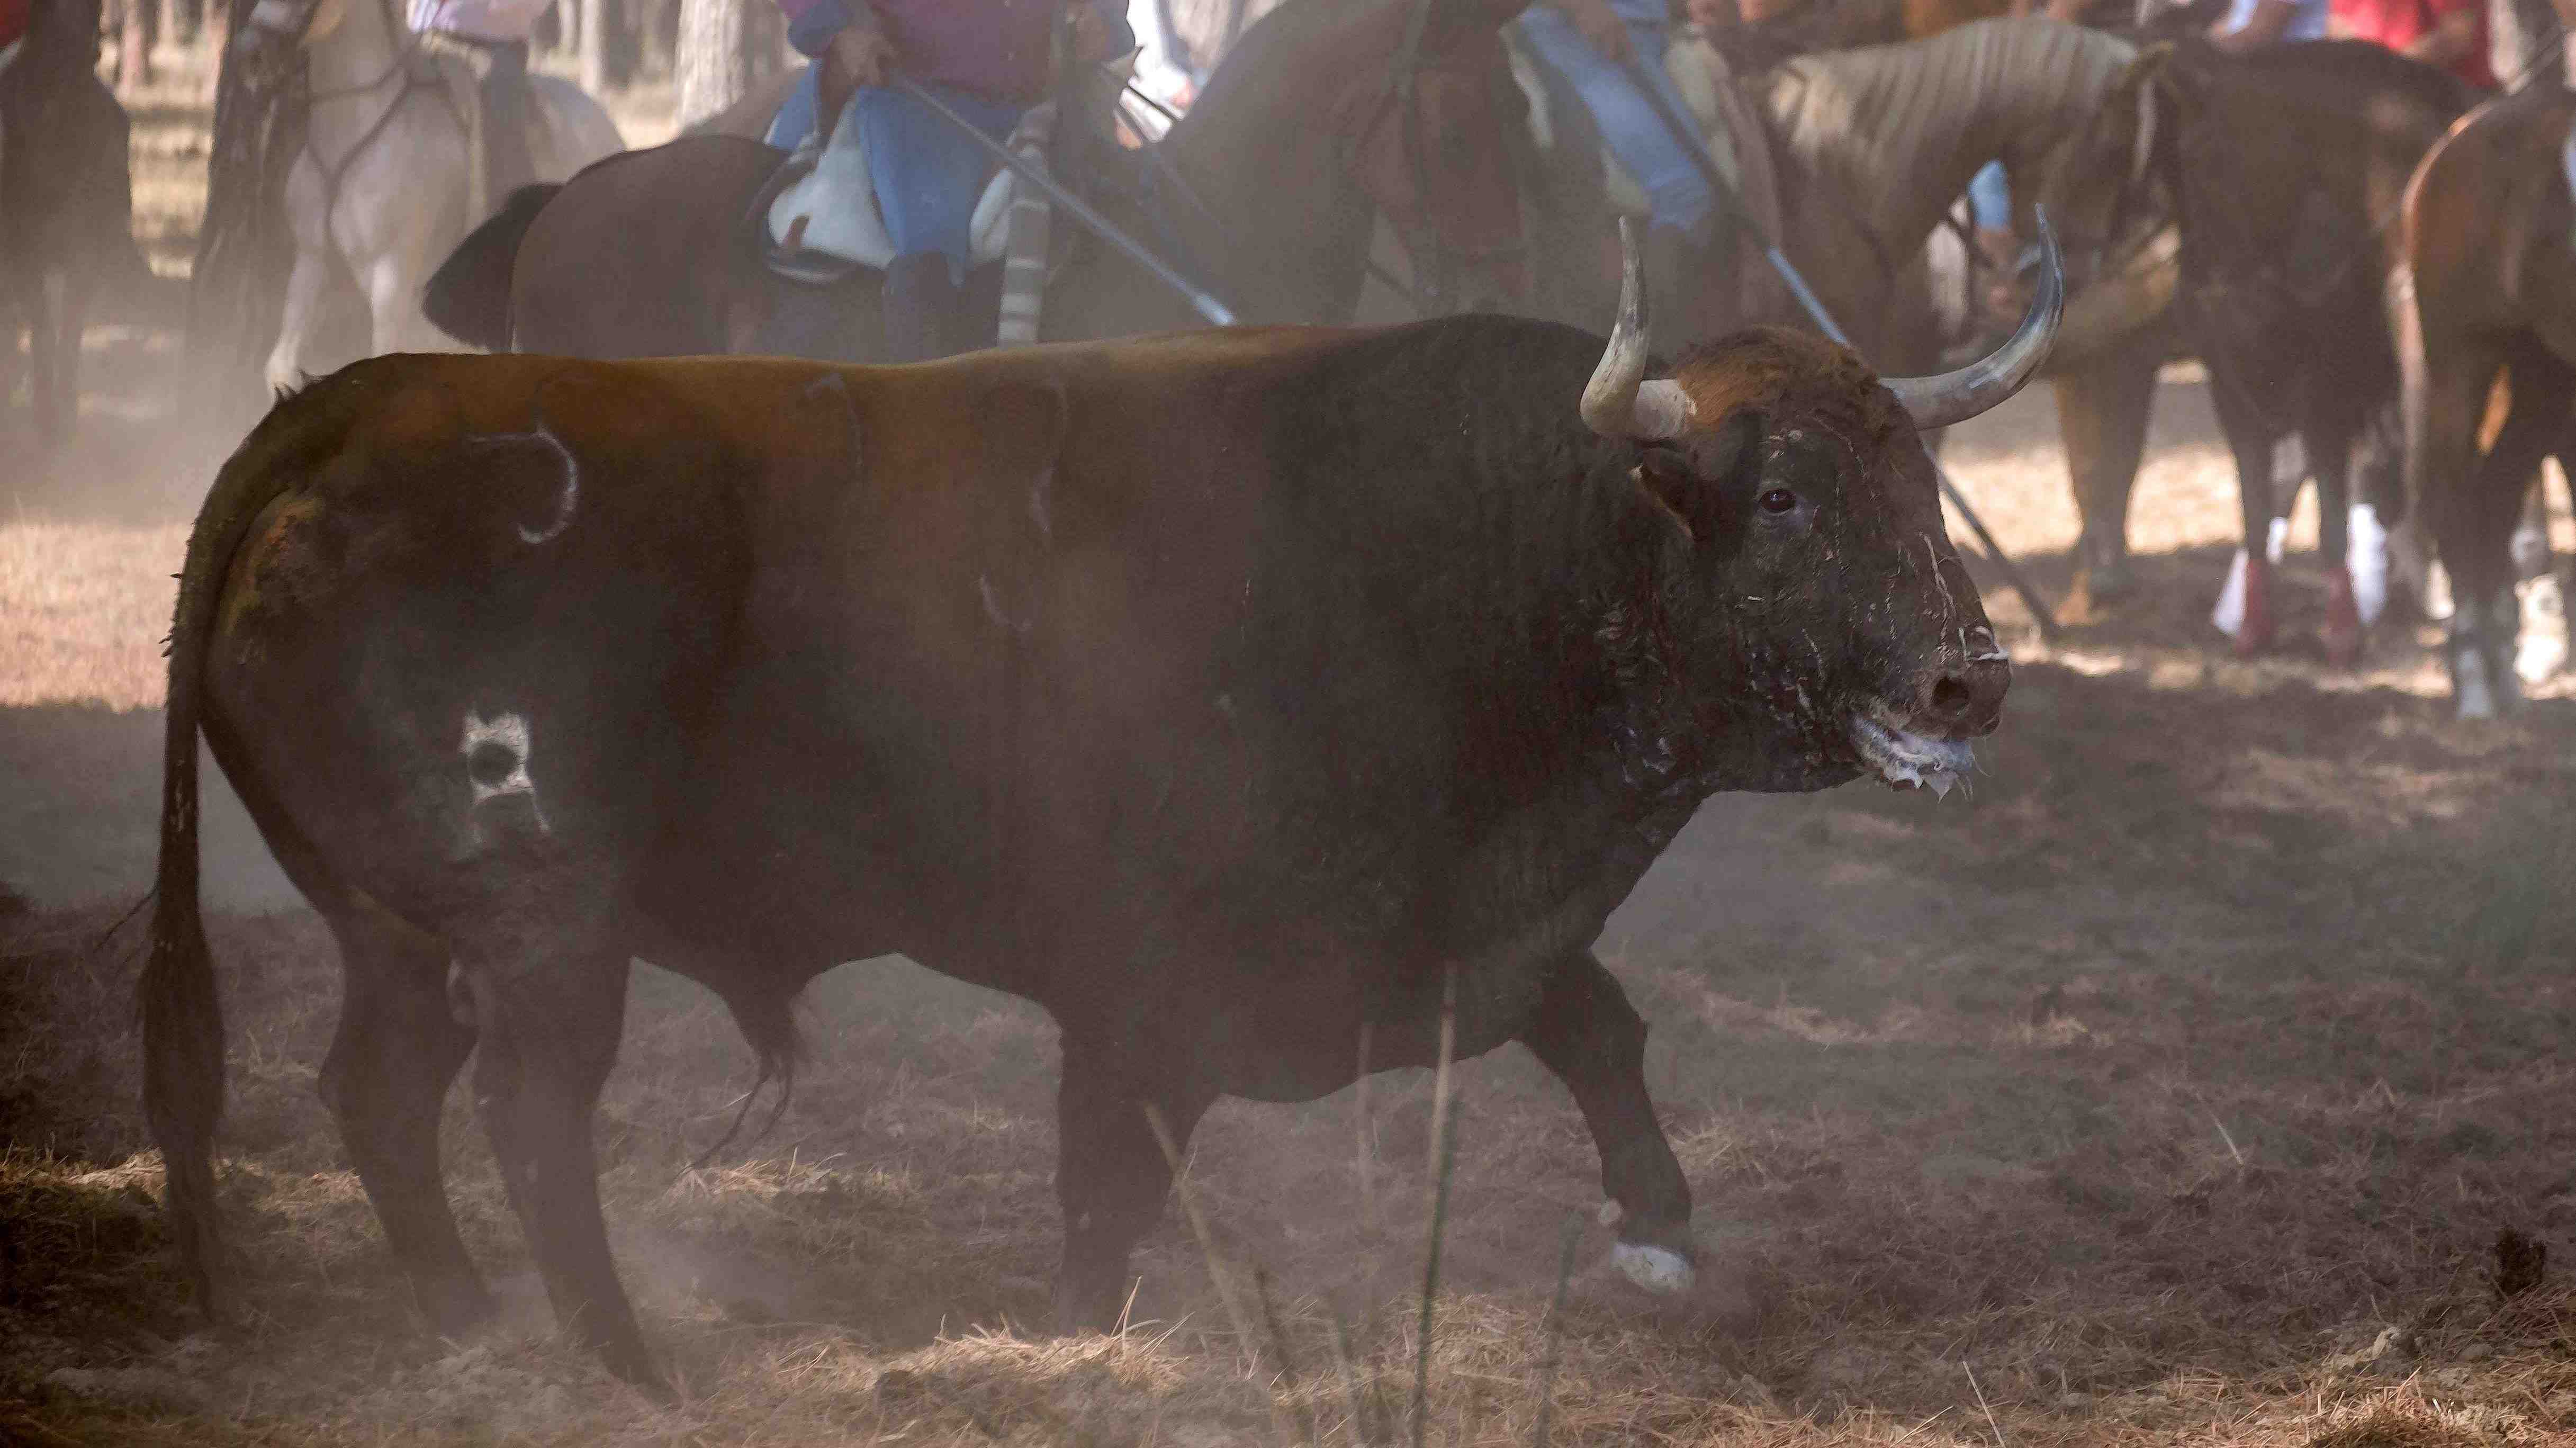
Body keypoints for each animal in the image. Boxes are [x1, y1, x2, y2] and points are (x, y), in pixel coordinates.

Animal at [146, 239, 2050, 1391]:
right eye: (1786, 492)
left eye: (1918, 476)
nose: (1970, 679)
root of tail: (350, 406)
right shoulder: (1140, 1003)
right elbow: (1106, 1201)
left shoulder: (1449, 941)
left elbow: (1597, 1023)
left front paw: (1658, 1232)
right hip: (549, 924)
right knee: (531, 1116)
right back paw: (627, 1364)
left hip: (402, 931)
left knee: (379, 1091)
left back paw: (469, 1323)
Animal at [2380, 83, 2576, 711]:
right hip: (2461, 360)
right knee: (2454, 499)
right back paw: (2473, 677)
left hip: (2544, 371)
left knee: (2493, 495)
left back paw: (2500, 671)